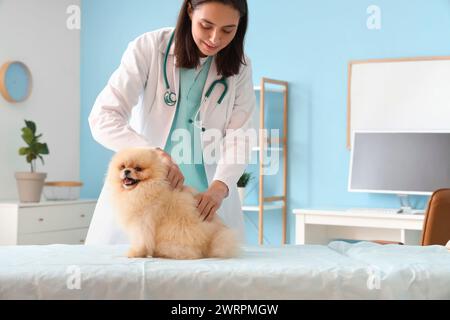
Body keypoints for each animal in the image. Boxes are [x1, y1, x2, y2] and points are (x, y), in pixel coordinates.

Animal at [106, 148, 239, 260]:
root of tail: (210, 243)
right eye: (122, 167)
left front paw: (136, 253)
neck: (143, 189)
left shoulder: (143, 222)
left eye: (138, 168)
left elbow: (141, 240)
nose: (126, 171)